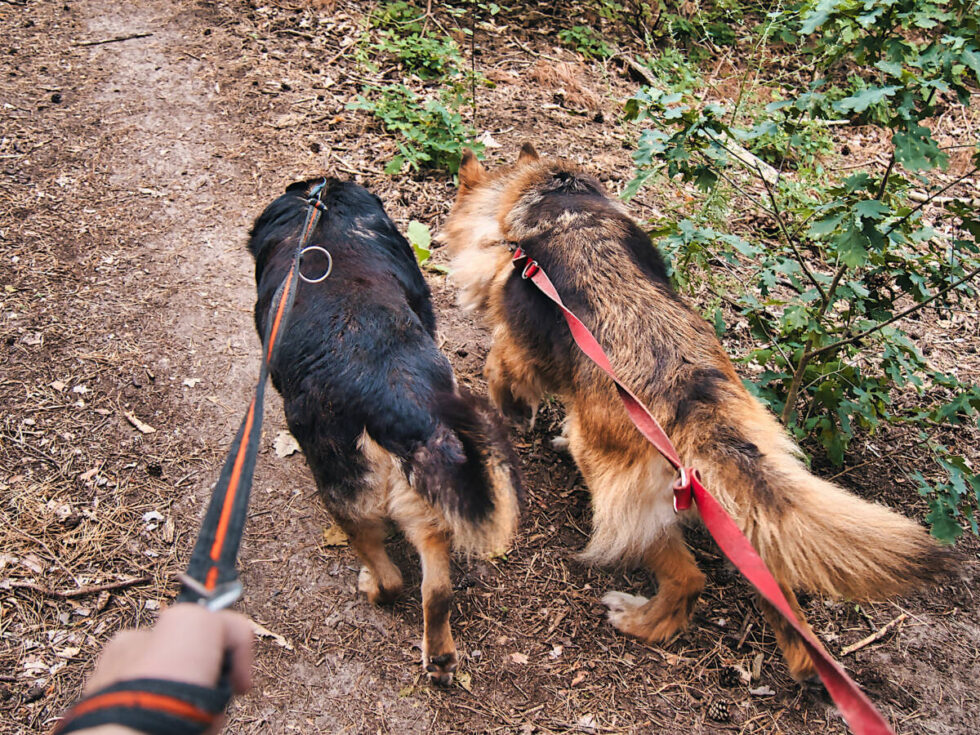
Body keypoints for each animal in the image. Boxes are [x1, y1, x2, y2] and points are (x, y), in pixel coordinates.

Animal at [247, 178, 520, 684]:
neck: (325, 212)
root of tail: (398, 403)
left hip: (346, 494)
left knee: (388, 574)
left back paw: (372, 586)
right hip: (426, 504)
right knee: (436, 591)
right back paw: (440, 656)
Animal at [442, 147, 948, 680]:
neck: (556, 192)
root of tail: (695, 405)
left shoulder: (514, 346)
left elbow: (501, 374)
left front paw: (512, 414)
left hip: (623, 496)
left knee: (688, 580)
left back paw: (638, 619)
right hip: (741, 505)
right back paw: (806, 658)